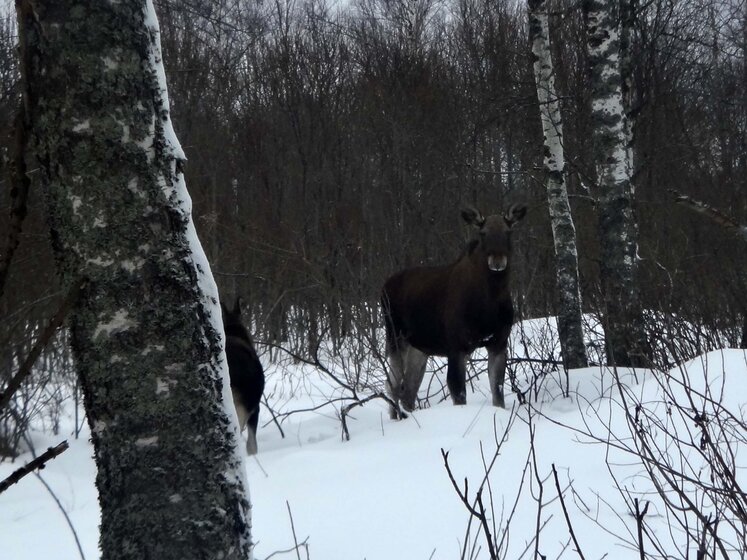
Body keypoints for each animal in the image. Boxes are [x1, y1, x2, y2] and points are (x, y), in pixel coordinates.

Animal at [382, 203, 528, 418]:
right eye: (483, 233)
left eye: (508, 232)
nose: (497, 261)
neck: (489, 302)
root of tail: (384, 286)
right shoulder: (457, 346)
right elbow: (458, 392)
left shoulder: (498, 343)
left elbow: (498, 393)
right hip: (395, 339)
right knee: (392, 386)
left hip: (419, 348)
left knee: (408, 390)